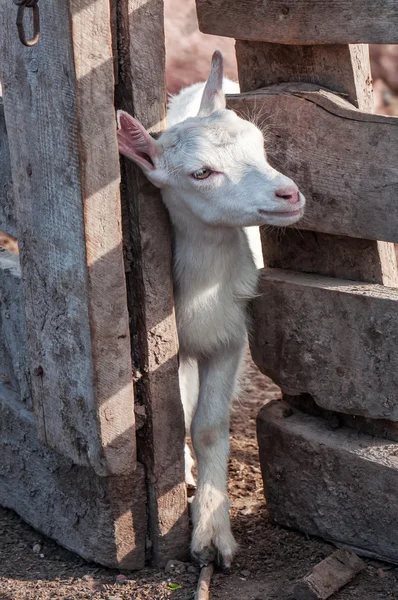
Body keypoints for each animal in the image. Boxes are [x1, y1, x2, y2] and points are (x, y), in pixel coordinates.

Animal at [116, 50, 304, 568]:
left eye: (260, 145)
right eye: (201, 173)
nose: (289, 194)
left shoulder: (231, 337)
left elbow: (208, 425)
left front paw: (212, 530)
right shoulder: (171, 346)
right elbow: (176, 414)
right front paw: (185, 487)